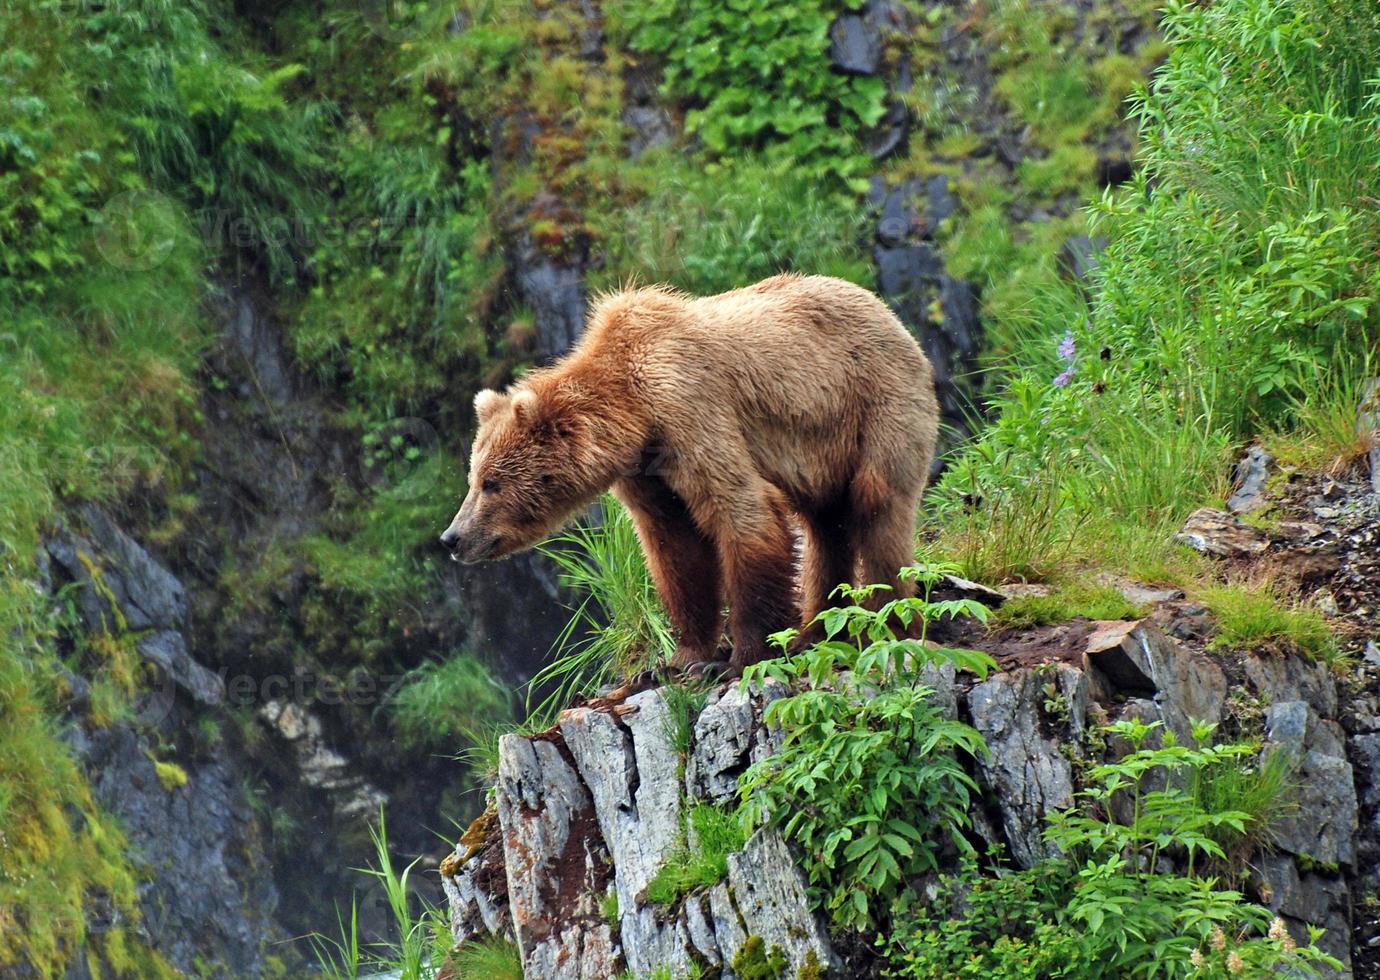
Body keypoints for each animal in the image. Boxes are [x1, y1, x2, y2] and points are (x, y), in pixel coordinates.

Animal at [441, 276, 938, 676]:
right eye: (473, 478)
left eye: (490, 483)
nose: (453, 537)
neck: (634, 416)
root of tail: (888, 312)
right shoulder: (648, 472)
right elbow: (676, 548)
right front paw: (680, 659)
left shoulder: (690, 408)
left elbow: (743, 513)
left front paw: (737, 659)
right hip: (823, 453)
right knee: (824, 526)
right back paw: (815, 631)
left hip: (875, 405)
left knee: (877, 508)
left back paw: (890, 620)